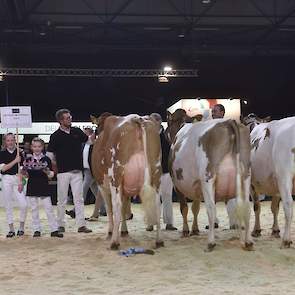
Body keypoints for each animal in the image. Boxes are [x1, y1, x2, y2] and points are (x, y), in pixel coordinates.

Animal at [91, 113, 164, 250]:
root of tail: (137, 118)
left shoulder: (102, 185)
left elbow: (110, 208)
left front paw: (111, 231)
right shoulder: (126, 187)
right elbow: (125, 207)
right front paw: (124, 230)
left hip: (116, 175)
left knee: (116, 205)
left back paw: (114, 242)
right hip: (156, 173)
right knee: (157, 205)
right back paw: (159, 241)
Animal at [168, 108, 253, 252]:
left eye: (169, 122)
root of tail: (229, 122)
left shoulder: (177, 185)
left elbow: (184, 208)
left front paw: (186, 230)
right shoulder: (196, 186)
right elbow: (195, 208)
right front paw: (195, 229)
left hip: (208, 178)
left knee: (211, 208)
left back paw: (210, 242)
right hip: (245, 176)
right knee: (246, 206)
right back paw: (247, 242)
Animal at [243, 114, 295, 249]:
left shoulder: (252, 185)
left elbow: (257, 206)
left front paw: (256, 230)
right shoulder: (276, 185)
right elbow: (274, 208)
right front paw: (275, 230)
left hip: (284, 174)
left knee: (288, 203)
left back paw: (286, 240)